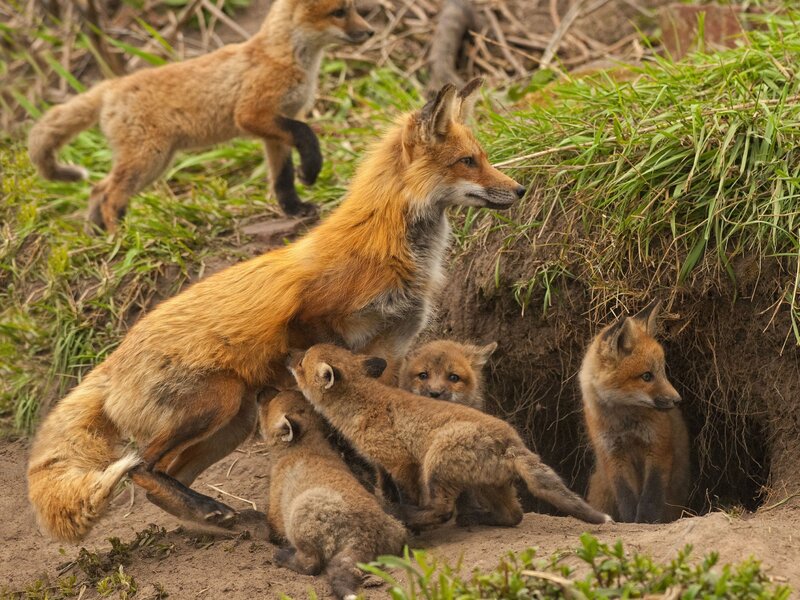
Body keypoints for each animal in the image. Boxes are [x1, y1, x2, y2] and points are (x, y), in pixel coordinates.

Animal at [27, 0, 374, 230]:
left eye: (352, 8)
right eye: (339, 12)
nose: (370, 32)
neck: (286, 58)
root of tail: (112, 85)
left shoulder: (276, 125)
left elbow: (282, 178)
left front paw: (295, 209)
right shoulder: (252, 114)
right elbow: (307, 134)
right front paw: (312, 170)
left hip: (155, 162)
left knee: (97, 190)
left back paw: (99, 235)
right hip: (147, 159)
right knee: (109, 195)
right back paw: (121, 236)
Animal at [27, 79, 525, 542]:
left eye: (482, 157)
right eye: (469, 161)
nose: (519, 189)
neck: (390, 246)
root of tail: (112, 359)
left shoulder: (392, 350)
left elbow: (382, 432)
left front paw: (394, 497)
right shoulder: (311, 320)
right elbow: (334, 407)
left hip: (234, 422)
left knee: (164, 475)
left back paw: (210, 518)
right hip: (218, 402)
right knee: (141, 466)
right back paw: (208, 510)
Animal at [259, 390, 407, 600]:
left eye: (269, 403)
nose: (260, 392)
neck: (306, 446)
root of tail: (364, 537)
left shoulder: (276, 512)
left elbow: (270, 528)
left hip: (301, 515)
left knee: (311, 565)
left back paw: (282, 556)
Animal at [289, 343, 612, 530]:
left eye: (302, 363)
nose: (287, 357)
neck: (364, 404)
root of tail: (512, 443)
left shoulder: (402, 461)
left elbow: (408, 493)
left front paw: (402, 514)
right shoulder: (382, 465)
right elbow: (385, 486)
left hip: (436, 461)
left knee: (443, 511)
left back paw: (410, 517)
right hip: (489, 484)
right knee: (514, 515)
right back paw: (478, 519)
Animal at [580, 299, 690, 523]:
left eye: (663, 372)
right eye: (646, 376)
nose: (677, 400)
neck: (625, 423)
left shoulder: (658, 447)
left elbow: (651, 494)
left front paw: (647, 520)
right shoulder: (613, 455)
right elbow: (626, 495)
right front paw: (631, 520)